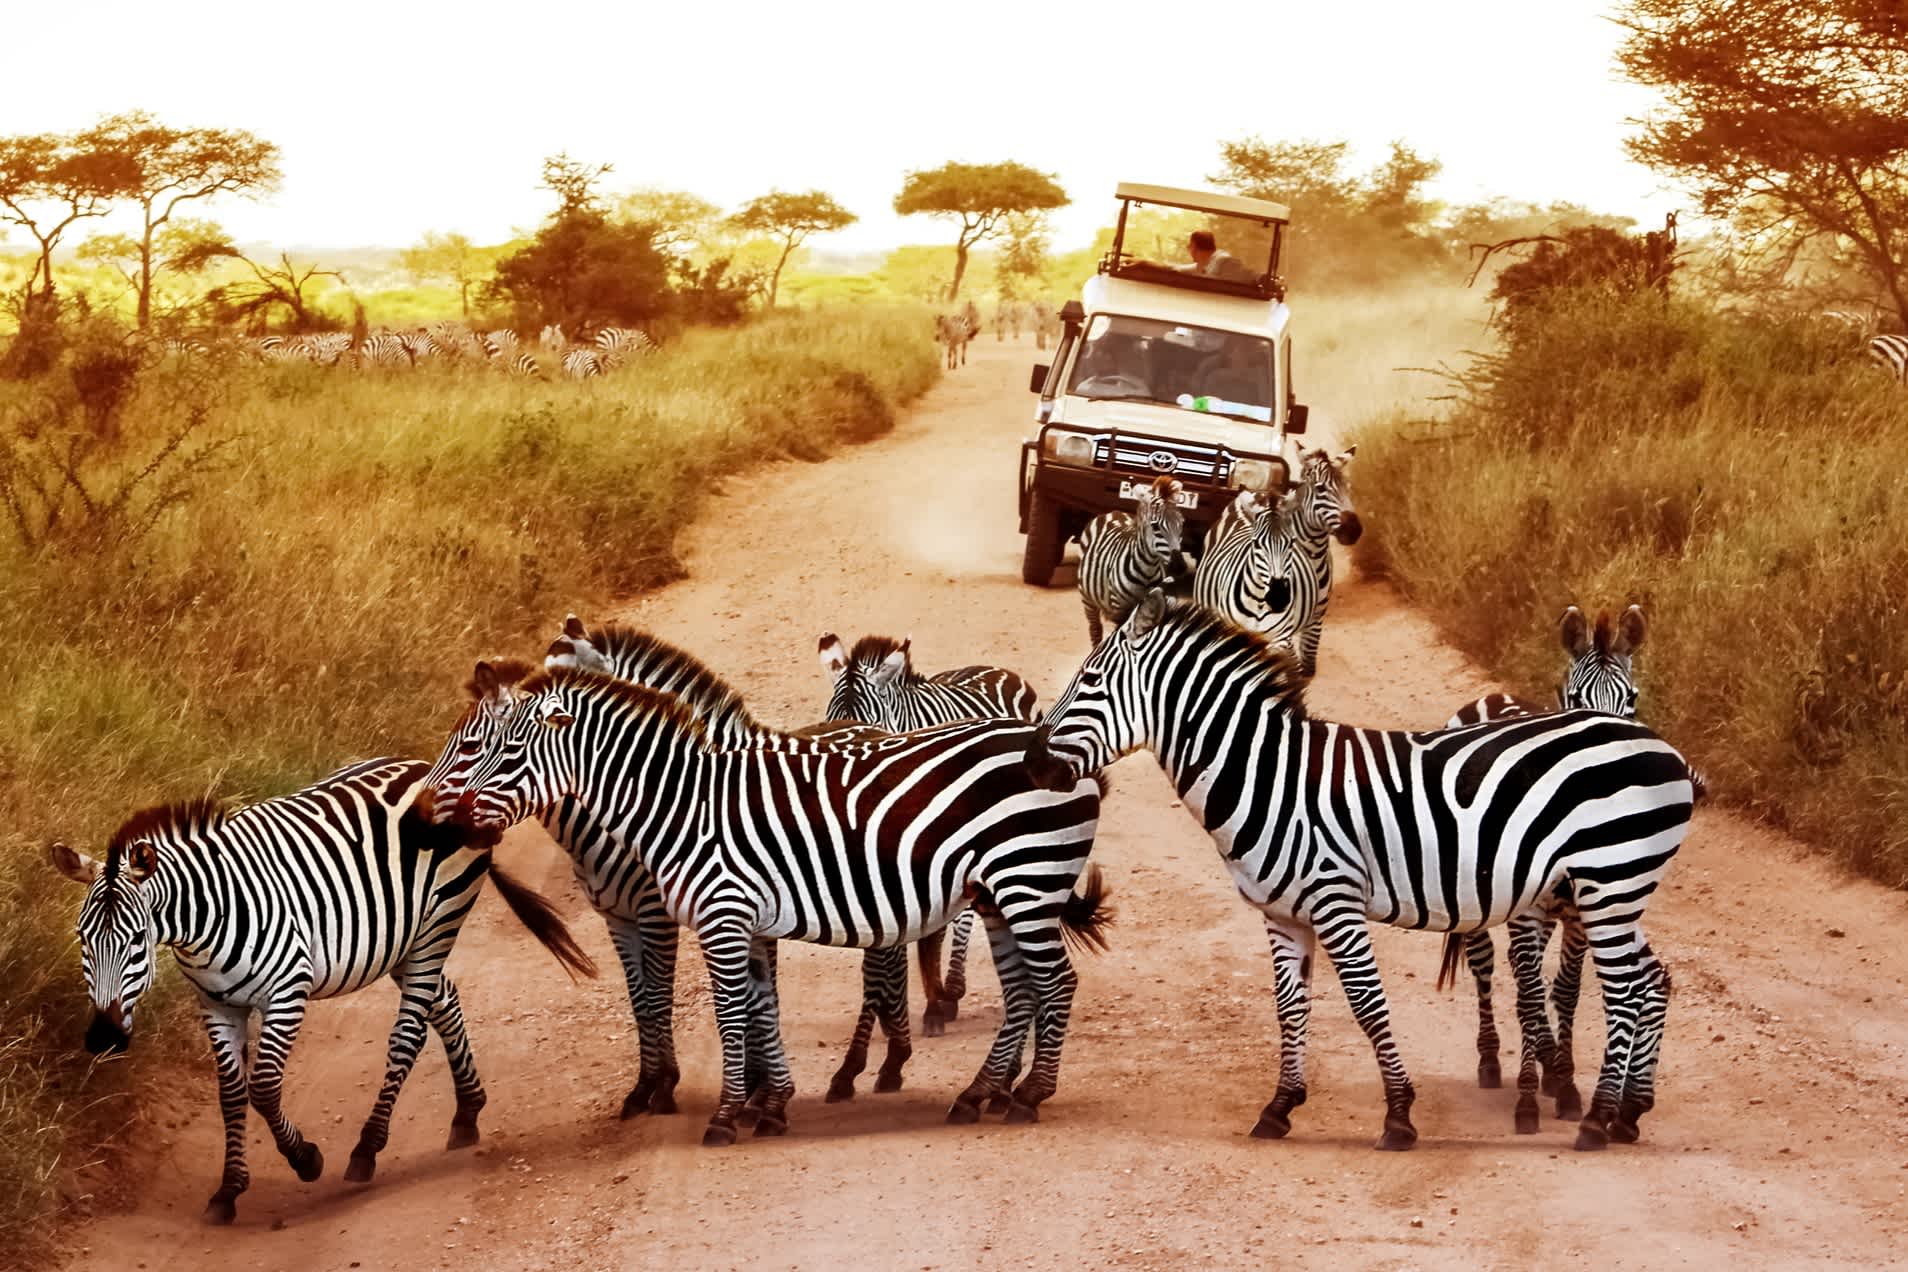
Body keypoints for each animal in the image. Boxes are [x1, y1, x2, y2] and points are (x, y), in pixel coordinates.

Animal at [48, 762, 595, 1228]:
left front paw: (306, 1159)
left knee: (408, 1034)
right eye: (81, 938)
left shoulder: (287, 992)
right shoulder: (217, 1005)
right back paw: (466, 1112)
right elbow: (231, 1094)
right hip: (402, 942)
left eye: (136, 940)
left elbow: (264, 1088)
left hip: (436, 927)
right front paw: (228, 1191)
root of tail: (424, 768)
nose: (102, 1039)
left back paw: (368, 1148)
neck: (204, 922)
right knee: (445, 1000)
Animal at [1030, 591, 1701, 1159]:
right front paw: (1279, 1108)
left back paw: (1596, 1120)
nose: (1035, 762)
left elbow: (1367, 1007)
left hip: (1609, 881)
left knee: (1625, 991)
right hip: (1614, 889)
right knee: (1653, 980)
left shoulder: (1336, 901)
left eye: (1089, 682)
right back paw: (1628, 1113)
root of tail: (1657, 744)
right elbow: (1290, 1009)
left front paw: (1399, 1117)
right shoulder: (1282, 913)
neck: (1271, 780)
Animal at [1083, 480, 1182, 648]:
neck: (1147, 570)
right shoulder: (1120, 608)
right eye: (1155, 526)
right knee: (1095, 628)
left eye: (1181, 524)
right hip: (1088, 599)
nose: (1178, 565)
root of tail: (1113, 512)